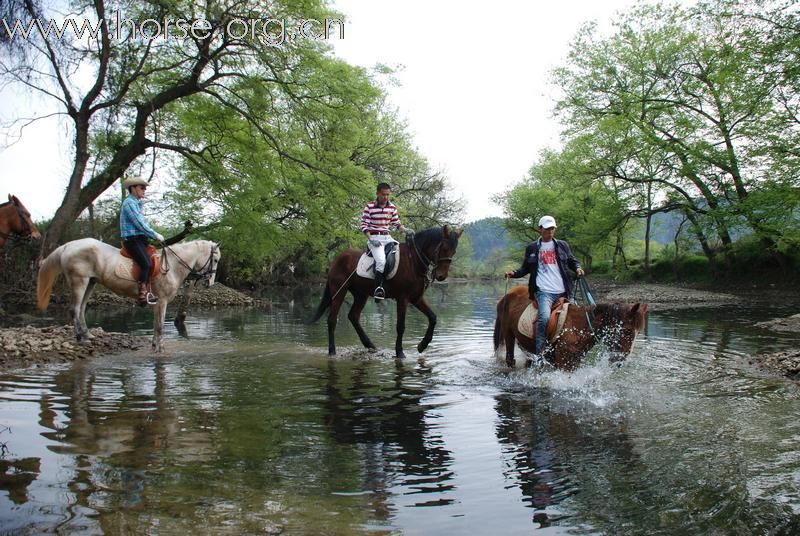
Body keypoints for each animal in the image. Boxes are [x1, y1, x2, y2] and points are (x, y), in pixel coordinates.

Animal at [36, 239, 220, 352]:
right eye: (216, 260)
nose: (209, 283)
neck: (173, 265)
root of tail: (68, 246)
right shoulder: (162, 301)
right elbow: (160, 327)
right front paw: (160, 349)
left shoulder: (158, 303)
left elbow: (156, 326)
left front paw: (155, 346)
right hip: (79, 281)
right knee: (74, 309)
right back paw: (81, 338)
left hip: (90, 282)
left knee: (81, 309)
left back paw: (87, 334)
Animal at [310, 224, 462, 358]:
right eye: (443, 248)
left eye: (454, 251)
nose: (441, 276)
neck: (413, 261)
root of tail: (338, 258)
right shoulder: (403, 299)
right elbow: (400, 326)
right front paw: (400, 353)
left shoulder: (416, 298)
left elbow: (433, 317)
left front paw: (422, 345)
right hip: (339, 291)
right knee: (332, 320)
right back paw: (332, 351)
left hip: (361, 294)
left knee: (353, 316)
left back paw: (370, 345)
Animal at [494, 286, 648, 370]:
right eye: (627, 331)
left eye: (638, 333)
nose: (619, 361)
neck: (579, 329)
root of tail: (507, 295)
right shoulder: (565, 364)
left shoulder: (574, 363)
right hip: (508, 335)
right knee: (510, 359)